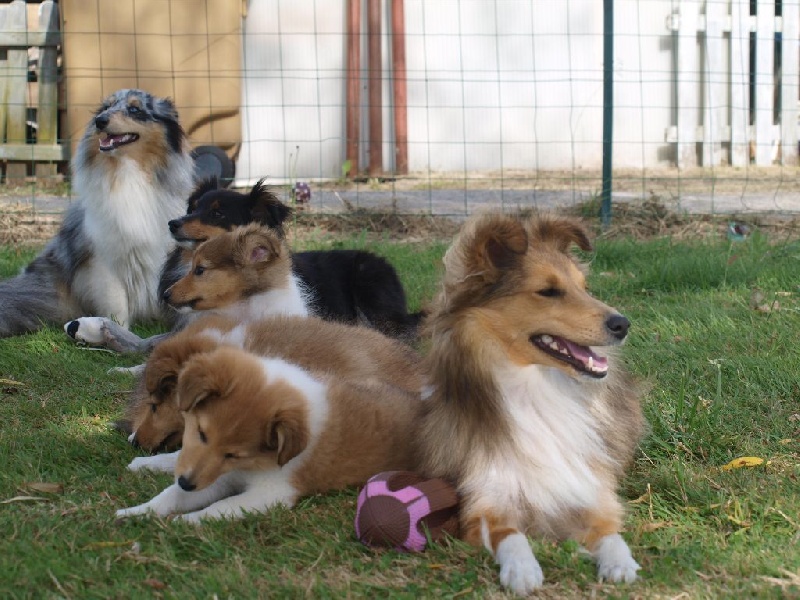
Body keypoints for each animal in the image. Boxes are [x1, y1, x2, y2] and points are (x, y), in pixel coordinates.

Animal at [416, 212, 648, 596]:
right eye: (548, 291)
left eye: (584, 287)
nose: (623, 324)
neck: (536, 391)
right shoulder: (485, 499)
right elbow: (510, 536)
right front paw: (522, 570)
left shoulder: (591, 491)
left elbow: (610, 533)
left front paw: (620, 564)